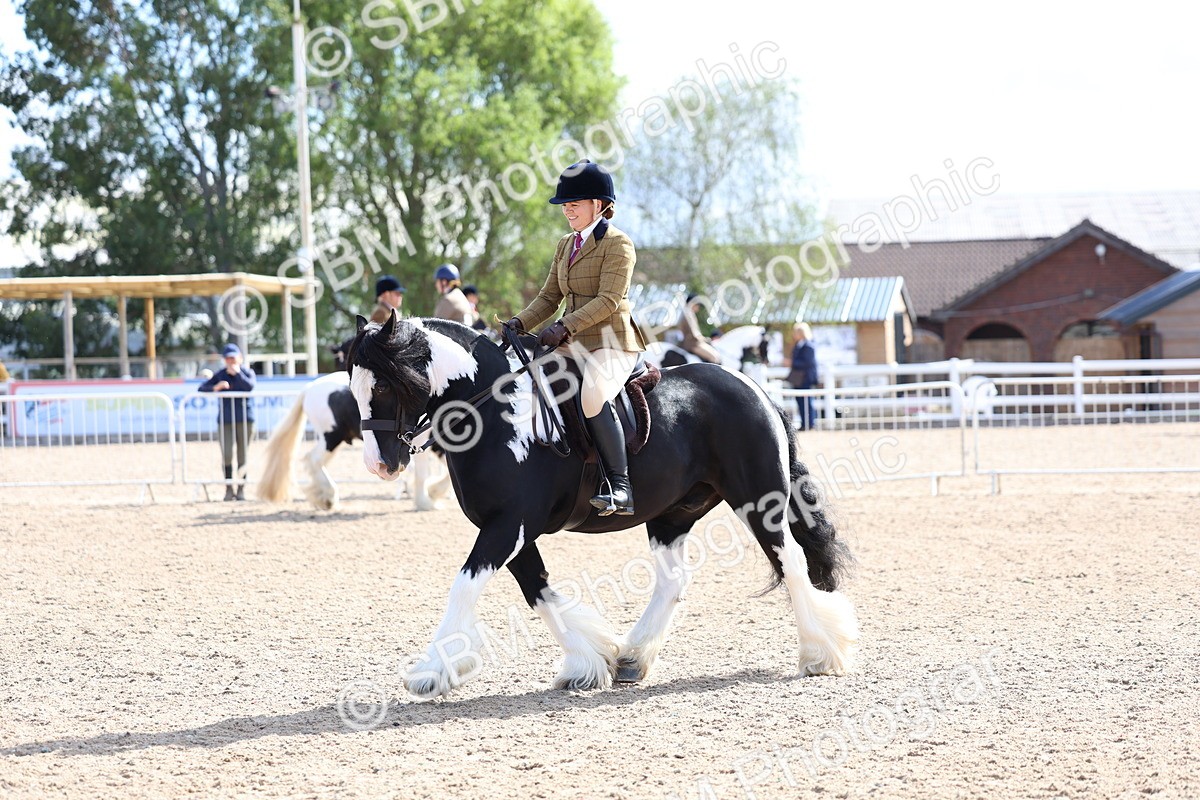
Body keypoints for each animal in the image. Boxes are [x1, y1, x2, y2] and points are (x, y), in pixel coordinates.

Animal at [256, 370, 452, 511]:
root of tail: (310, 387)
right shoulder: (418, 441)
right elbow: (423, 474)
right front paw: (425, 502)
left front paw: (434, 493)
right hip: (331, 437)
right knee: (314, 459)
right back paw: (328, 497)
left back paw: (323, 497)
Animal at [347, 313, 858, 699]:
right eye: (354, 388)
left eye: (385, 387)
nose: (379, 464)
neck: (497, 413)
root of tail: (754, 389)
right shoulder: (511, 529)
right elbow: (538, 591)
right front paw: (588, 661)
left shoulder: (509, 524)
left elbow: (465, 588)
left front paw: (431, 672)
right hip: (672, 515)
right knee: (674, 581)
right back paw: (633, 657)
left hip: (758, 499)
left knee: (790, 560)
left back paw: (820, 652)